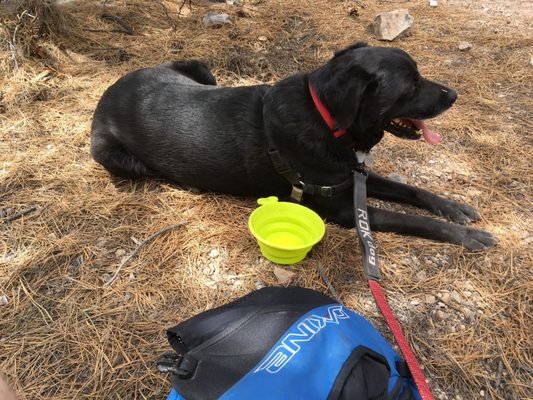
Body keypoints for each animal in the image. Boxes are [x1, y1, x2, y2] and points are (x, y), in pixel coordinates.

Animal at [90, 43, 494, 250]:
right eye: (410, 85)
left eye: (418, 75)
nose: (453, 95)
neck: (328, 119)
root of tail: (110, 89)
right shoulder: (343, 208)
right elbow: (412, 220)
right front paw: (466, 236)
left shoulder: (354, 173)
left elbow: (412, 191)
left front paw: (453, 207)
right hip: (112, 155)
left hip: (201, 69)